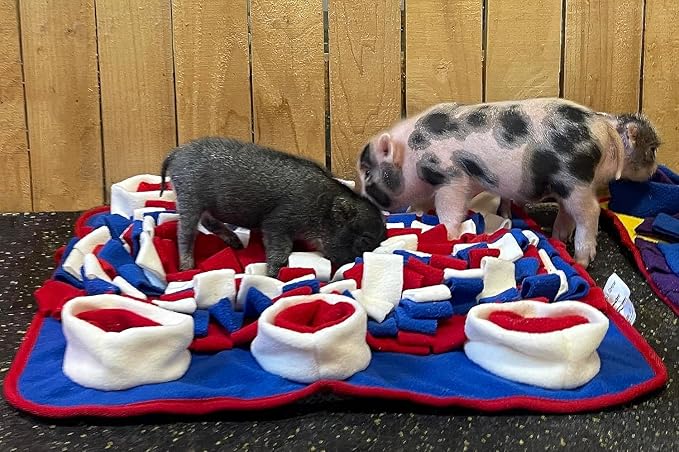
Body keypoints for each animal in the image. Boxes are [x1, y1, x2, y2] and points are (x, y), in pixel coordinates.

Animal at [161, 137, 386, 277]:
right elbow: (280, 250)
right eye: (365, 241)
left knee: (208, 221)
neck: (322, 207)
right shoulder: (277, 223)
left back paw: (236, 244)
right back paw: (187, 267)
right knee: (185, 232)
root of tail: (175, 153)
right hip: (189, 199)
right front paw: (274, 275)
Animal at [357, 98, 660, 267]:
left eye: (369, 174)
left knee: (590, 213)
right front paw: (418, 214)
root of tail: (603, 127)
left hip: (574, 179)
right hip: (569, 185)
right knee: (569, 213)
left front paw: (449, 234)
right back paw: (557, 238)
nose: (365, 201)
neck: (412, 154)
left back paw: (581, 260)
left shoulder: (451, 176)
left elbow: (449, 208)